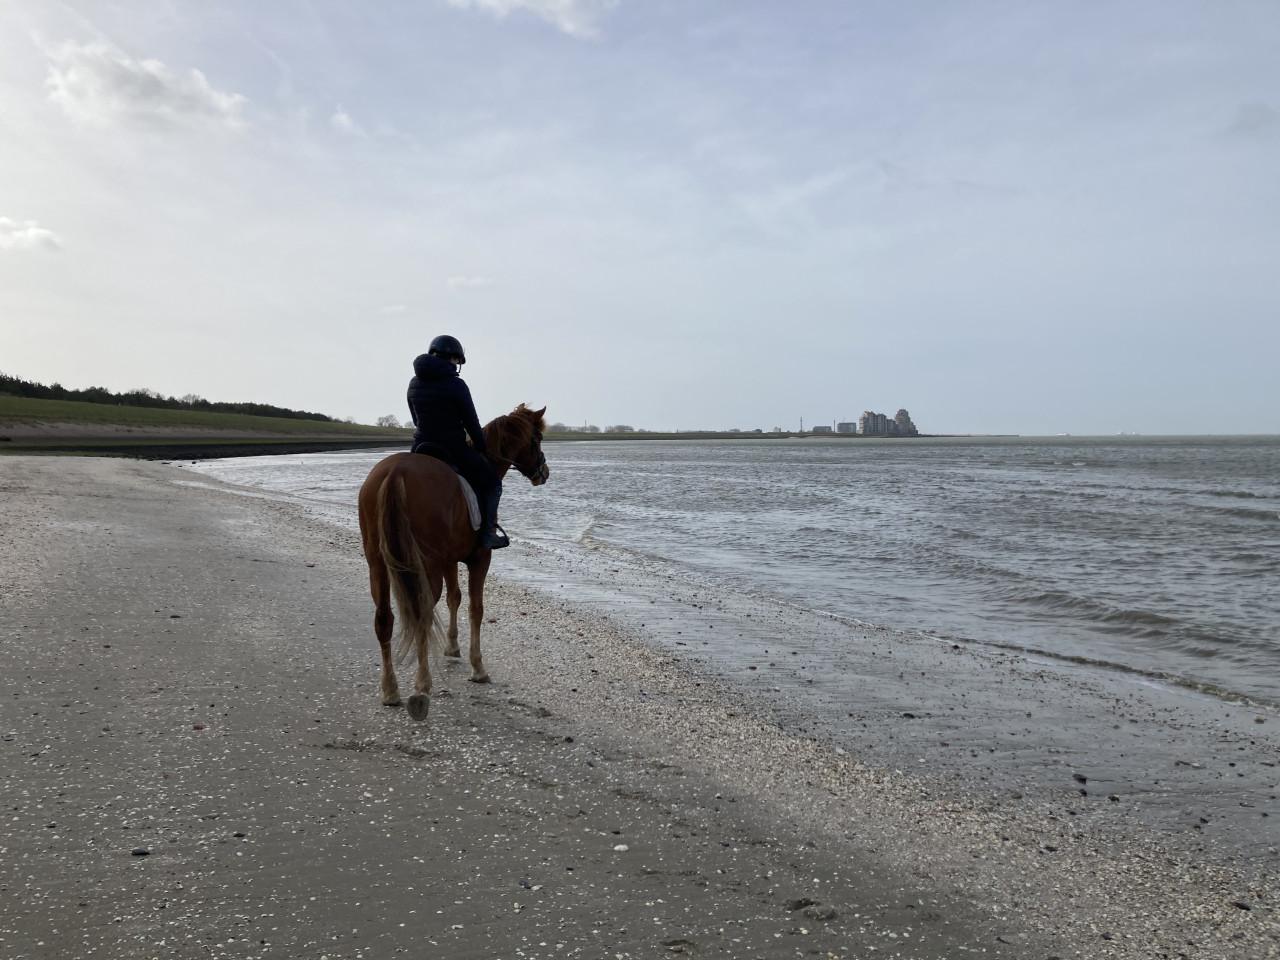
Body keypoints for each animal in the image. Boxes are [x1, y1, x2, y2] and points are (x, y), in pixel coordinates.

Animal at [357, 403, 549, 721]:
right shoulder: (479, 559)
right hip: (425, 566)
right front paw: (477, 667)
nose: (543, 472)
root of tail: (396, 472)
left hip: (379, 566)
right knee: (421, 613)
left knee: (385, 619)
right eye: (538, 439)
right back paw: (421, 688)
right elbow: (475, 608)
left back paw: (390, 690)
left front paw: (452, 646)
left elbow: (454, 598)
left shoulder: (449, 560)